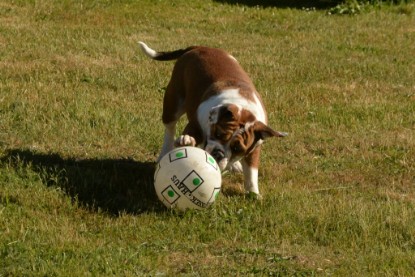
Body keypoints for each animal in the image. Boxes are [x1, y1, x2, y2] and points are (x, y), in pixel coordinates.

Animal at [138, 41, 288, 196]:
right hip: (173, 102)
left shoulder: (255, 147)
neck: (243, 107)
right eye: (218, 134)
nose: (218, 153)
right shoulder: (195, 123)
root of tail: (200, 47)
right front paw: (187, 140)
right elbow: (189, 134)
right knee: (170, 128)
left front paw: (253, 193)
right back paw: (165, 151)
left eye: (237, 148)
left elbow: (251, 171)